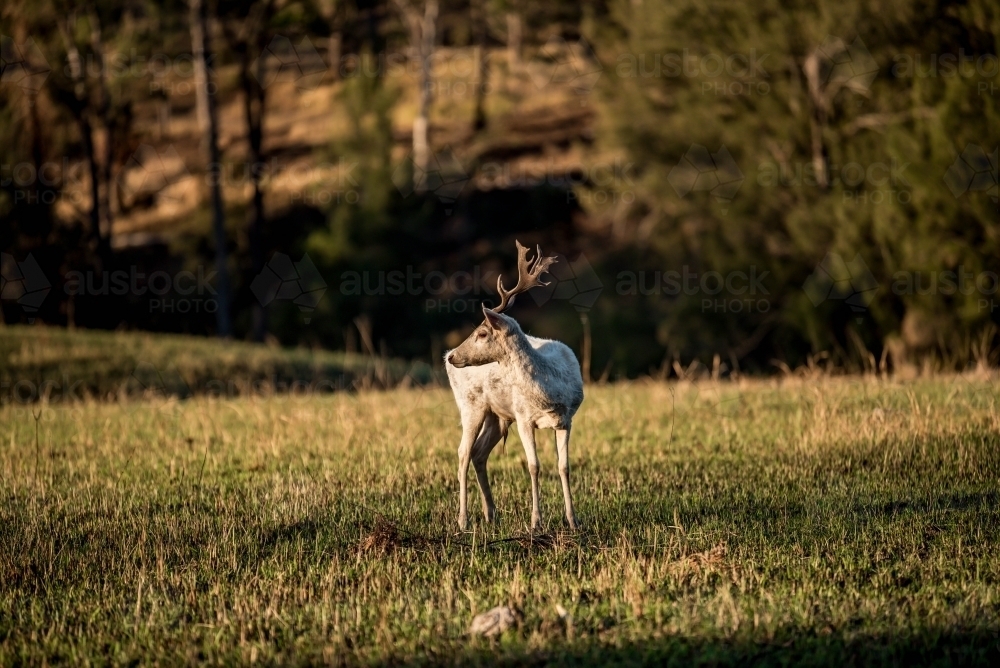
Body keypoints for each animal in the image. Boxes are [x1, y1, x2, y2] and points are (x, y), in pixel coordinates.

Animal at [446, 241, 584, 532]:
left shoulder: (567, 420)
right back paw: (463, 520)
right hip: (470, 405)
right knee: (463, 452)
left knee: (479, 453)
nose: (453, 357)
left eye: (482, 333)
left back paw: (491, 513)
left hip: (498, 416)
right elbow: (533, 466)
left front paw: (573, 520)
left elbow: (564, 467)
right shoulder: (523, 418)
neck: (549, 394)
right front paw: (536, 522)